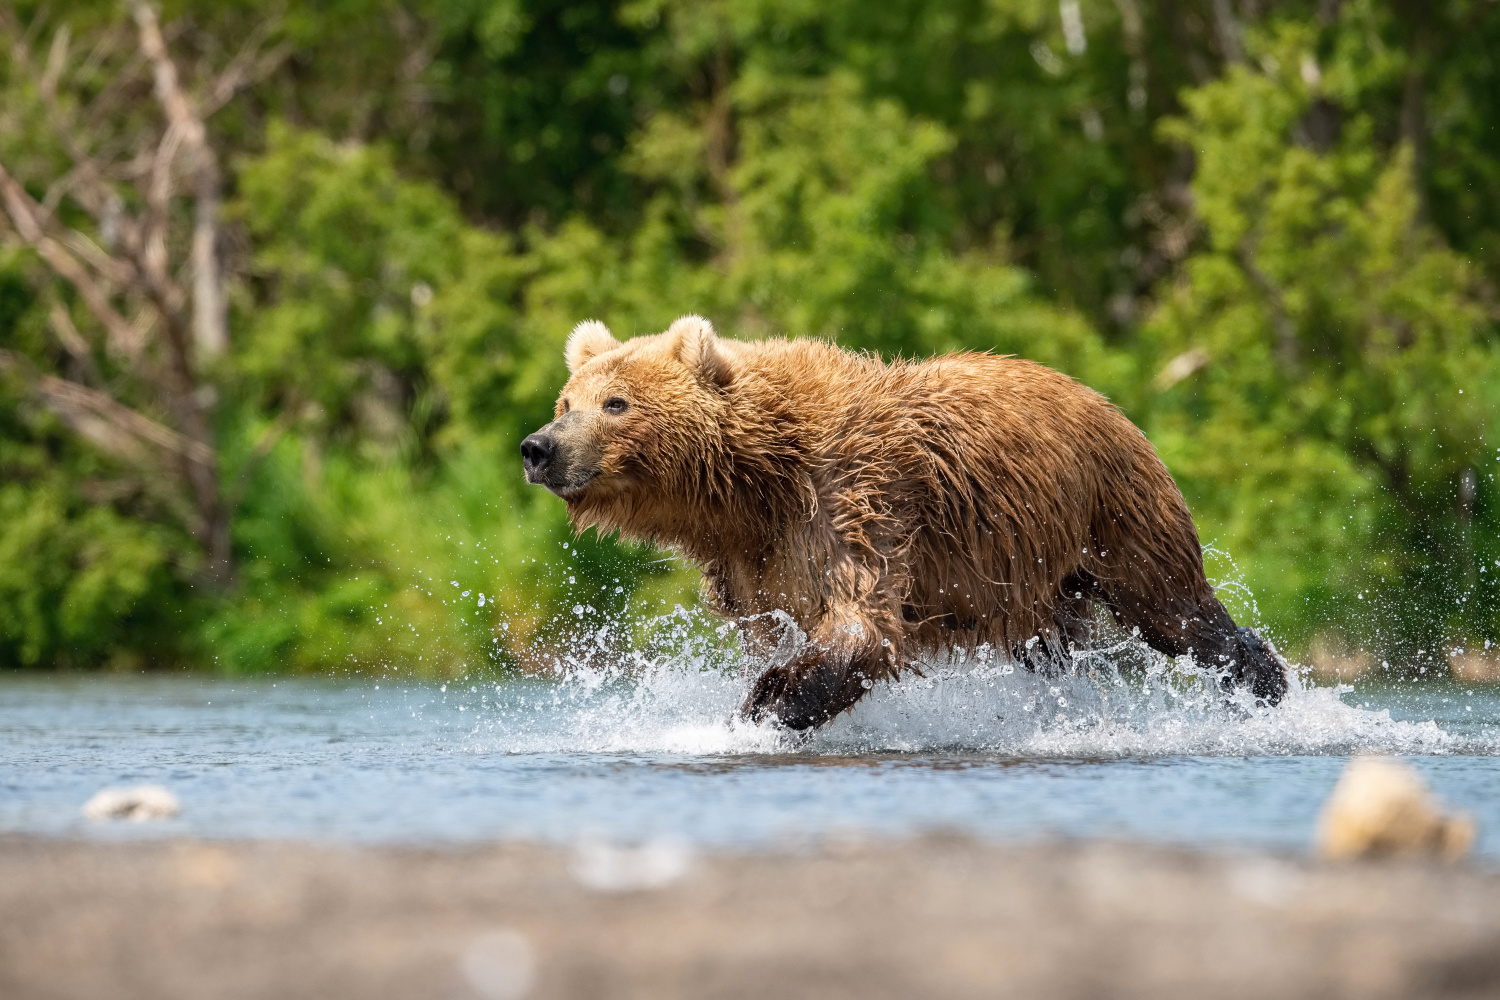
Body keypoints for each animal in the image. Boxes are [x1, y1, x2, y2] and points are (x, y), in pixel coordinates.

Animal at [522, 316, 1284, 731]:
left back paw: (1263, 681)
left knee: (1177, 611)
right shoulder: (752, 565)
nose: (538, 447)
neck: (752, 487)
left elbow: (862, 625)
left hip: (1114, 512)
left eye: (616, 403)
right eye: (566, 400)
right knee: (1049, 649)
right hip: (1033, 573)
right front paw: (761, 689)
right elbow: (778, 626)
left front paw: (766, 703)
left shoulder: (854, 500)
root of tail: (1107, 400)